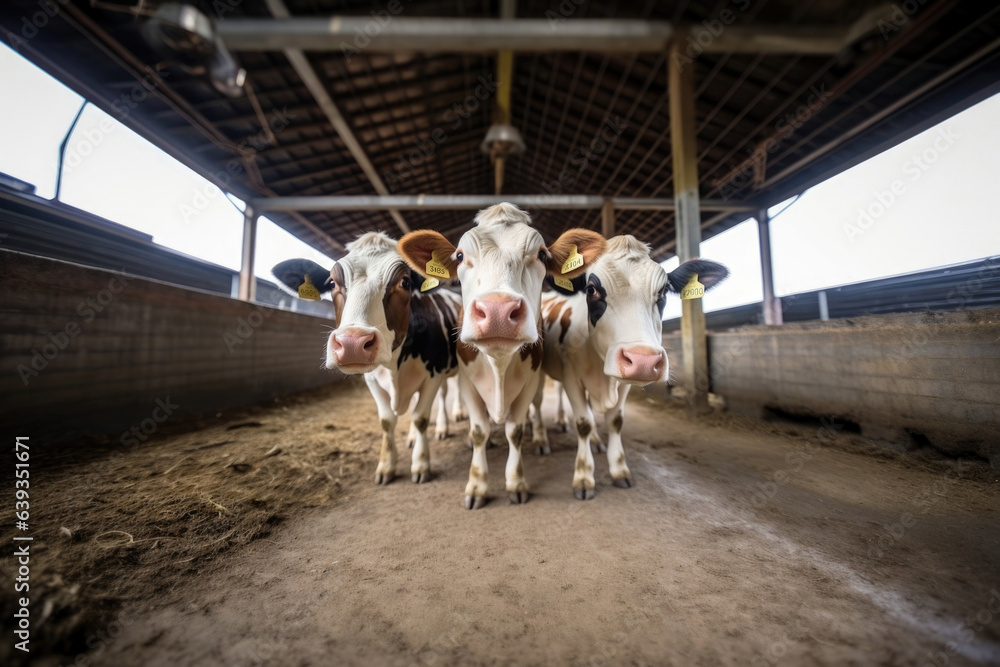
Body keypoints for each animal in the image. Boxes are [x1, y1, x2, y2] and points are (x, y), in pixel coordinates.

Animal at [274, 234, 460, 486]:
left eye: (405, 283)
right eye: (331, 283)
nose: (352, 344)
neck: (394, 366)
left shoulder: (434, 373)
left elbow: (421, 417)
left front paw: (421, 464)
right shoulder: (372, 380)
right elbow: (387, 421)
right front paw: (386, 466)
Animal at [400, 204, 604, 512]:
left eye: (541, 254)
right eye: (460, 255)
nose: (497, 311)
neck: (498, 367)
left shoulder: (530, 381)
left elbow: (515, 431)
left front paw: (516, 483)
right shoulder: (467, 383)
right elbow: (479, 431)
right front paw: (477, 485)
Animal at [532, 237, 728, 498]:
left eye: (663, 291)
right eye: (591, 289)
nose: (643, 361)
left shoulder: (622, 383)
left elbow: (615, 421)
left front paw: (619, 470)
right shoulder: (571, 376)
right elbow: (583, 423)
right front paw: (583, 477)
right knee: (537, 402)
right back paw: (540, 439)